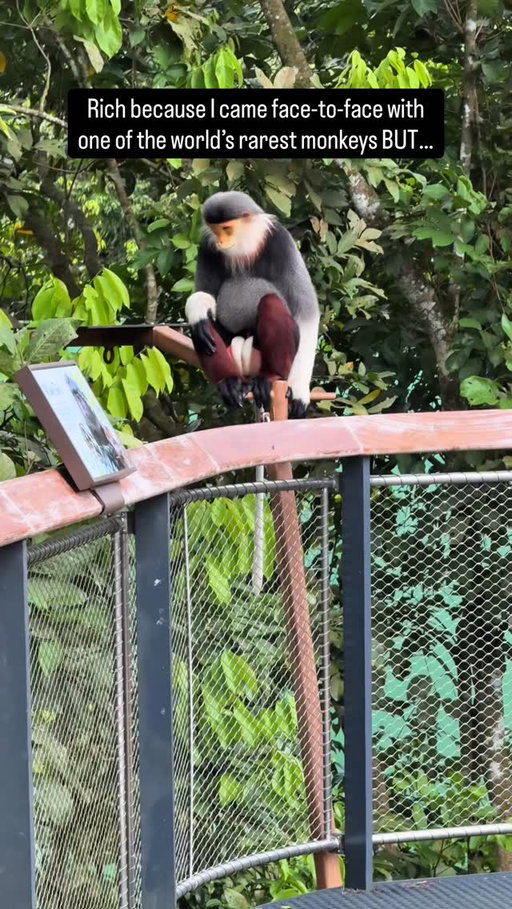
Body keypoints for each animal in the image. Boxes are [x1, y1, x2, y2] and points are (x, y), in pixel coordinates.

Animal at [185, 191, 320, 418]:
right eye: (215, 230)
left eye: (227, 229)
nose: (220, 241)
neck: (246, 246)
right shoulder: (207, 248)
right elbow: (205, 294)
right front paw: (198, 311)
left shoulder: (281, 240)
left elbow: (306, 309)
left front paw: (300, 391)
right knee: (202, 327)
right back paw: (229, 382)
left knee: (271, 302)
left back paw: (270, 377)